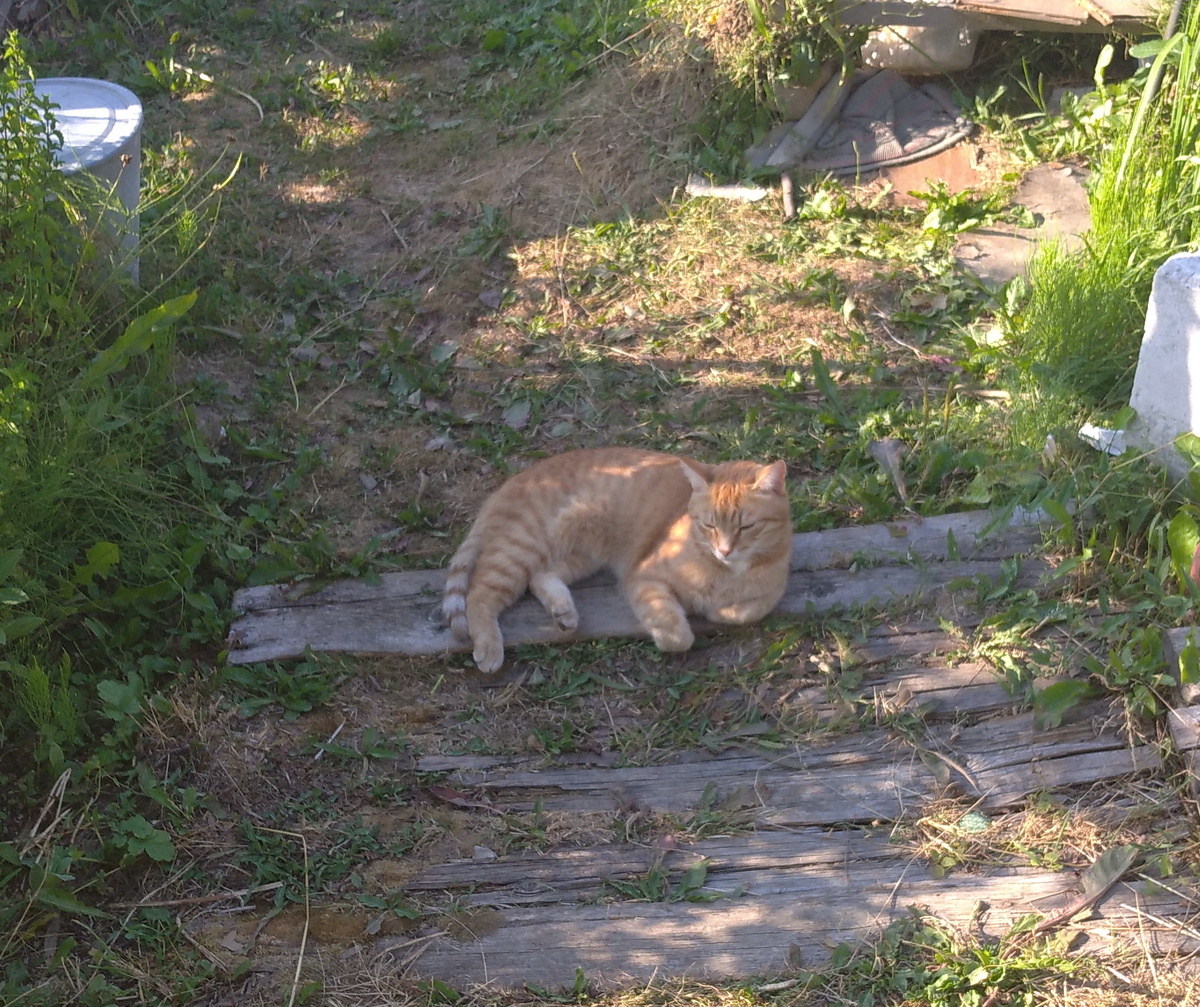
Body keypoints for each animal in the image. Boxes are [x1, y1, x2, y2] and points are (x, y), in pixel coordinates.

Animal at [446, 446, 792, 667]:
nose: (725, 549)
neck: (727, 572)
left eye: (746, 527)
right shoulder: (643, 577)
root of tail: (510, 483)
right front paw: (682, 623)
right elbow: (676, 634)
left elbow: (745, 611)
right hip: (525, 546)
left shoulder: (770, 592)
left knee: (540, 576)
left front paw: (716, 608)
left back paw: (563, 611)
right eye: (709, 525)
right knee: (480, 593)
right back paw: (489, 647)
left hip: (582, 554)